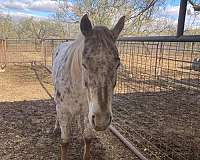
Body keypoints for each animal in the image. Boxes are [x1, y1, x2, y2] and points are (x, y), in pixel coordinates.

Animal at [53, 14, 125, 159]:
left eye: (117, 64)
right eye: (84, 64)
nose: (102, 120)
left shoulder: (89, 112)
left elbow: (87, 138)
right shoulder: (63, 112)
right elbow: (65, 142)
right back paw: (55, 127)